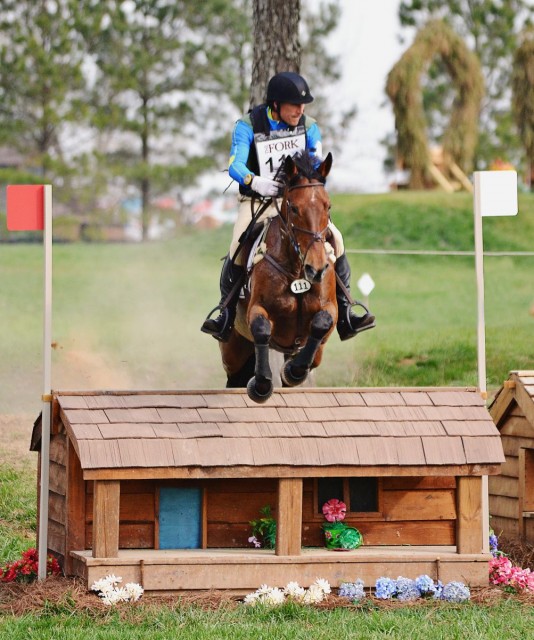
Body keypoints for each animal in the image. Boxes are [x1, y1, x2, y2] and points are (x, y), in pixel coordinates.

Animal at [220, 151, 338, 402]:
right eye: (293, 208)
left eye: (328, 206)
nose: (317, 270)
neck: (297, 270)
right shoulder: (258, 308)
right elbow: (262, 329)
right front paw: (262, 384)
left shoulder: (330, 309)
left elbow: (321, 323)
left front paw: (293, 371)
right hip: (233, 351)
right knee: (234, 374)